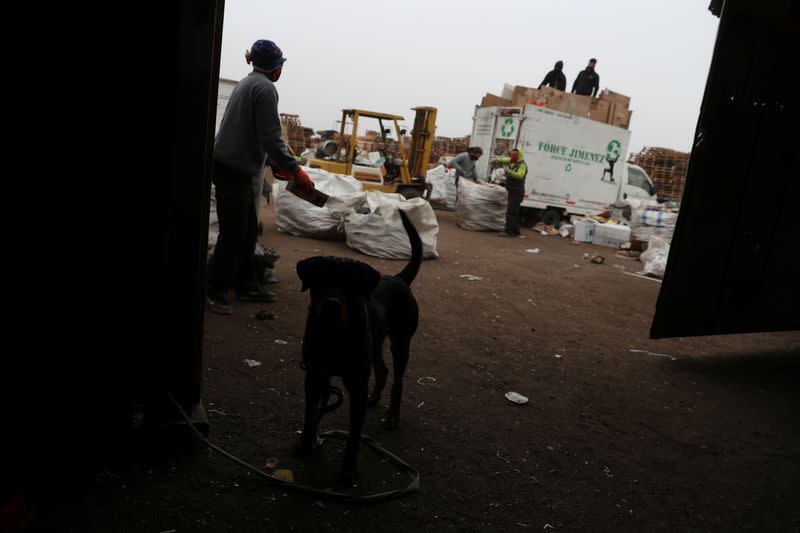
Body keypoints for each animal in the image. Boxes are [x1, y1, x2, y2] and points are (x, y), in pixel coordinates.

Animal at [292, 210, 418, 480]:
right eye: (320, 281)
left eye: (350, 286)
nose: (332, 304)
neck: (334, 334)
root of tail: (399, 279)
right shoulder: (315, 375)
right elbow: (310, 413)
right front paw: (306, 443)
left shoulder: (357, 384)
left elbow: (354, 434)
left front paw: (349, 471)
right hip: (374, 342)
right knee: (382, 369)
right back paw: (375, 397)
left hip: (401, 342)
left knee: (398, 380)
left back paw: (393, 416)